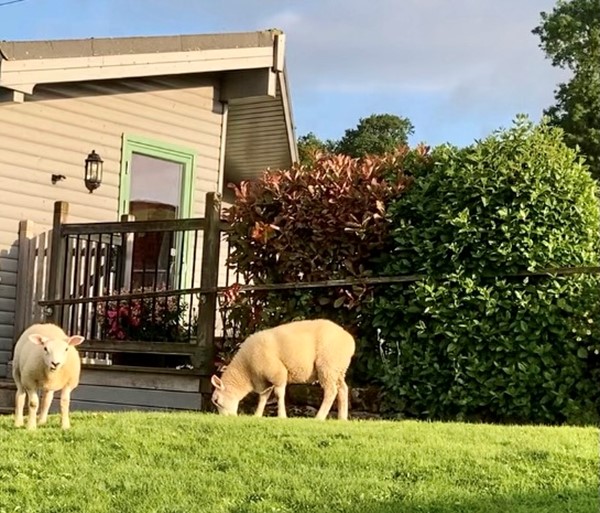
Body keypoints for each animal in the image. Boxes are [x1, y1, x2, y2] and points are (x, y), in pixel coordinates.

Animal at [210, 318, 354, 418]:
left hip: (327, 366)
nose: (225, 418)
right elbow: (263, 397)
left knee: (331, 391)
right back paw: (342, 418)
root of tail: (349, 340)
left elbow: (279, 394)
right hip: (338, 368)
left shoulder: (277, 373)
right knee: (343, 389)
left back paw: (319, 418)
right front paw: (257, 415)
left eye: (216, 400)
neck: (246, 371)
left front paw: (281, 416)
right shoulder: (265, 380)